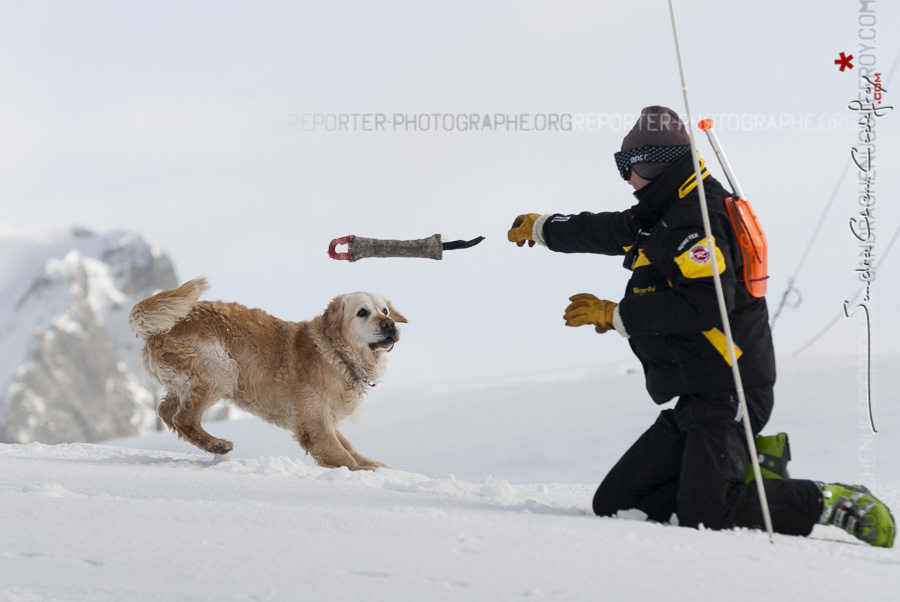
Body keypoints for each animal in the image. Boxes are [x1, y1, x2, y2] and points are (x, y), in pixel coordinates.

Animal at [129, 276, 404, 468]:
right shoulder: (315, 423)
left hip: (188, 380)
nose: (389, 324)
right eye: (362, 312)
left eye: (384, 311)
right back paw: (216, 444)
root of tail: (159, 329)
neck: (336, 354)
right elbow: (342, 455)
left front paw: (373, 464)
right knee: (182, 418)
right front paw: (364, 471)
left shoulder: (323, 417)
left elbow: (349, 447)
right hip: (220, 370)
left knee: (165, 410)